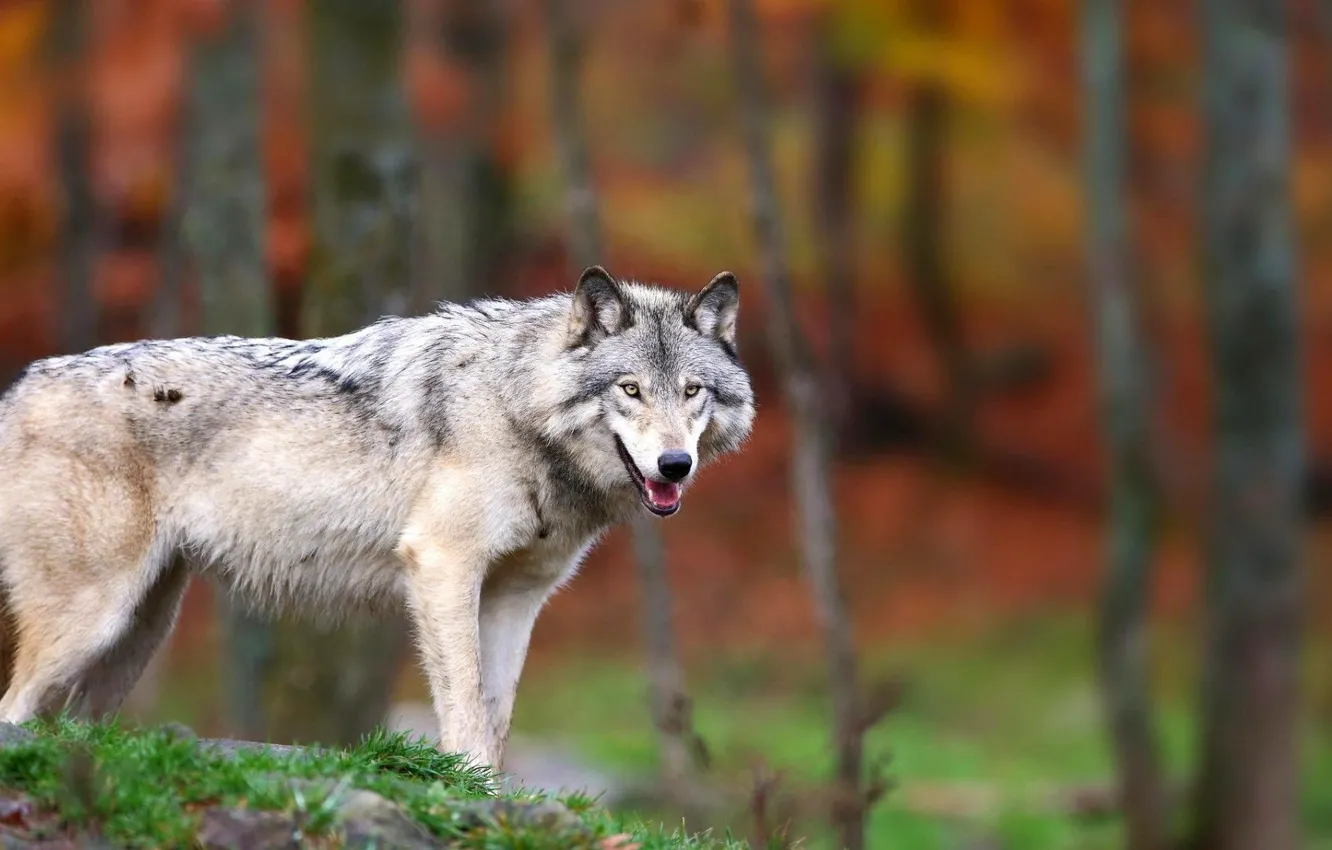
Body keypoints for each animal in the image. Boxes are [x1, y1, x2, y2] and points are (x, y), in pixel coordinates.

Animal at [0, 266, 754, 768]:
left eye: (693, 392)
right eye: (630, 390)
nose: (674, 465)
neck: (515, 406)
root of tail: (19, 387)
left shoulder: (516, 598)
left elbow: (498, 715)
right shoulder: (442, 568)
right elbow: (466, 711)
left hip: (136, 634)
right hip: (93, 619)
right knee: (14, 709)